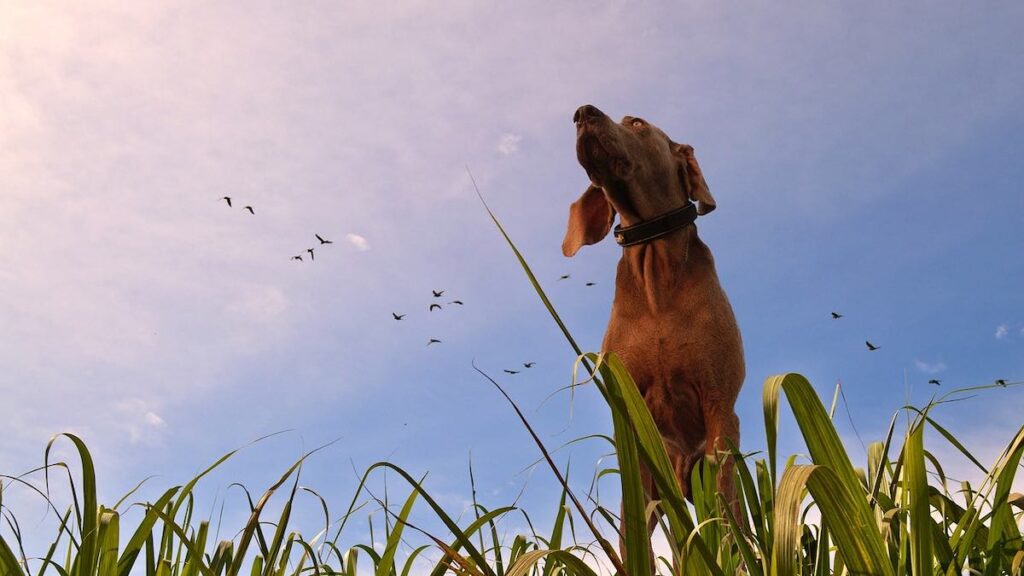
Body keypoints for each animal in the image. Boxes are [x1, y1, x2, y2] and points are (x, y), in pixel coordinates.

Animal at [561, 104, 745, 520]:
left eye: (637, 123)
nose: (582, 112)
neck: (656, 282)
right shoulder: (629, 418)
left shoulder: (720, 407)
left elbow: (726, 512)